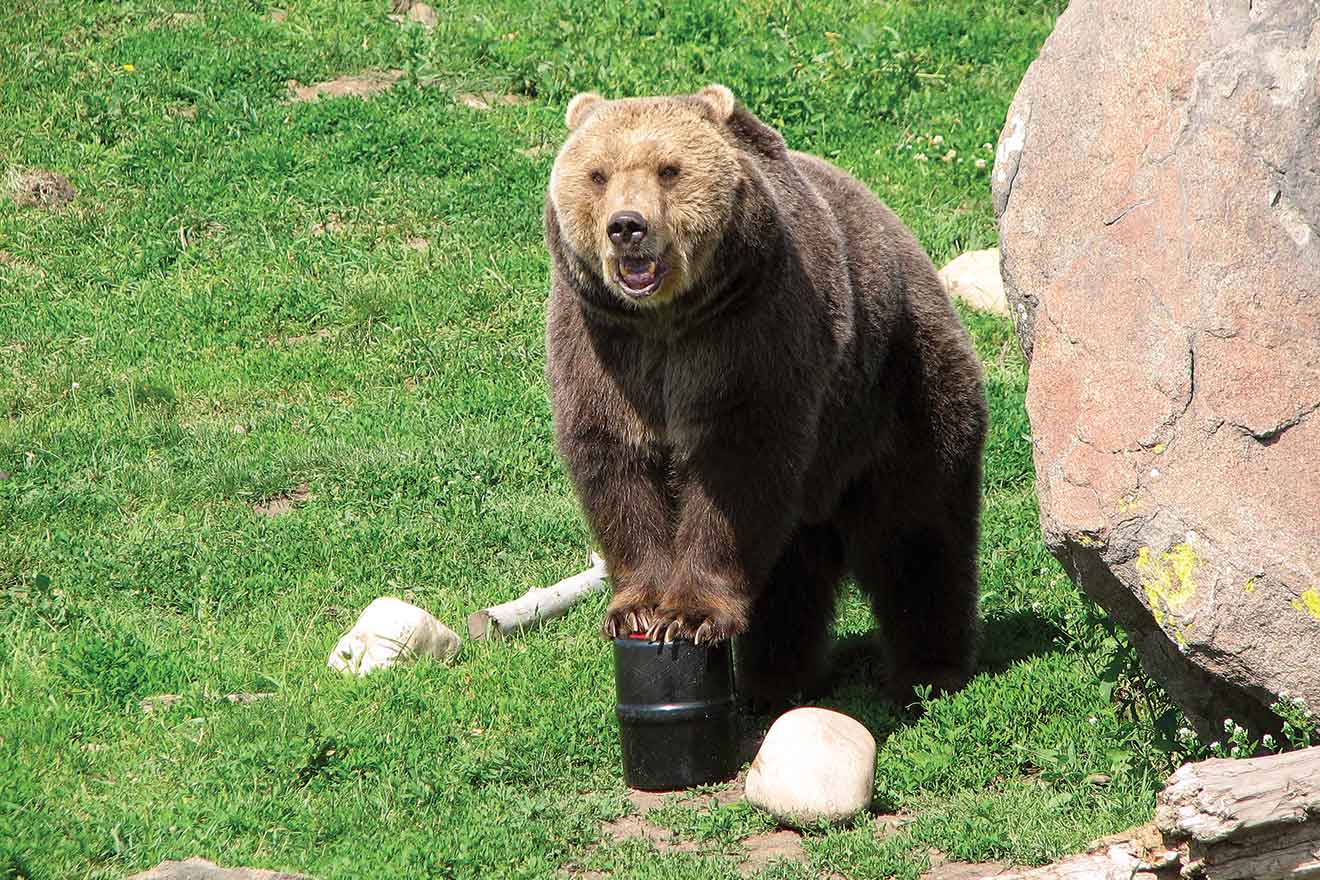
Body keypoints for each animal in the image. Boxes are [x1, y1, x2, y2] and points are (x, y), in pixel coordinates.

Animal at [543, 84, 988, 706]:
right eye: (598, 174)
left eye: (669, 169)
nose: (626, 226)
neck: (668, 320)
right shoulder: (603, 343)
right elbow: (615, 461)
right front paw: (639, 608)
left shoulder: (754, 334)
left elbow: (738, 465)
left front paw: (691, 614)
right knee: (791, 575)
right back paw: (777, 678)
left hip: (902, 395)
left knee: (916, 535)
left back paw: (929, 669)